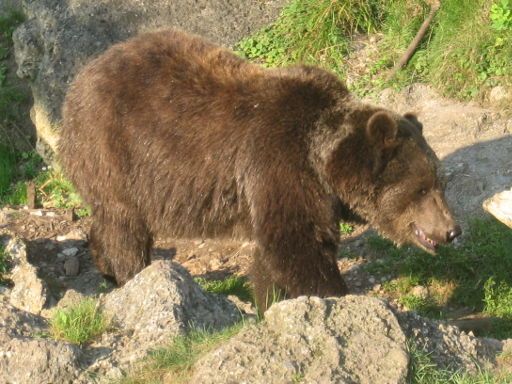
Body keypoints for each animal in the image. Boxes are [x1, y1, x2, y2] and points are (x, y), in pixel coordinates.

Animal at [59, 30, 460, 312]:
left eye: (440, 182)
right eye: (421, 188)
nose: (452, 230)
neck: (322, 160)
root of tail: (79, 78)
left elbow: (277, 254)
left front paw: (273, 303)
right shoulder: (279, 164)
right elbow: (297, 246)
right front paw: (336, 296)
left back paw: (105, 265)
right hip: (115, 152)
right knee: (124, 224)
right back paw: (132, 274)